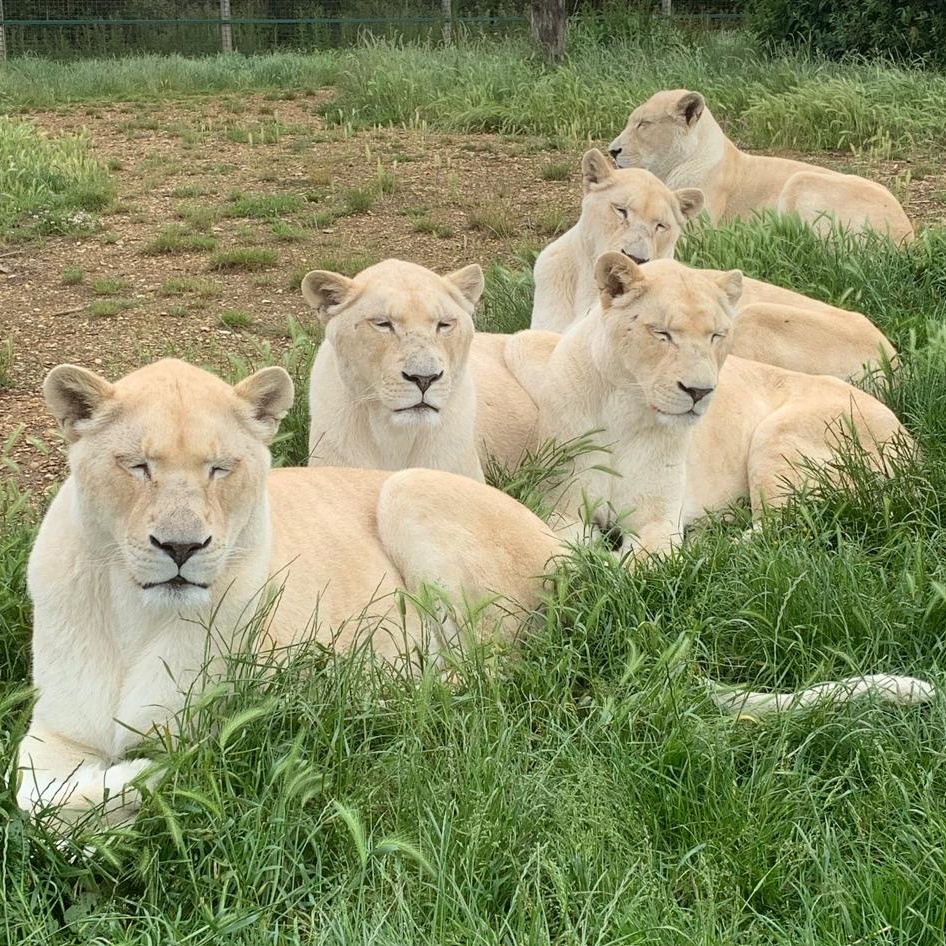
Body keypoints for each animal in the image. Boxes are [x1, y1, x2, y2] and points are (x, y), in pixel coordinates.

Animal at [16, 358, 563, 825]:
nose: (181, 546)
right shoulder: (54, 730)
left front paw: (131, 778)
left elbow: (162, 766)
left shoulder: (218, 724)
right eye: (136, 465)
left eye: (221, 467)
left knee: (488, 677)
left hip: (407, 490)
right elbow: (32, 798)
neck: (136, 613)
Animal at [530, 149, 896, 381]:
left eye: (661, 225)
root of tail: (894, 361)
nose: (636, 258)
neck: (586, 285)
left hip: (754, 316)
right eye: (620, 210)